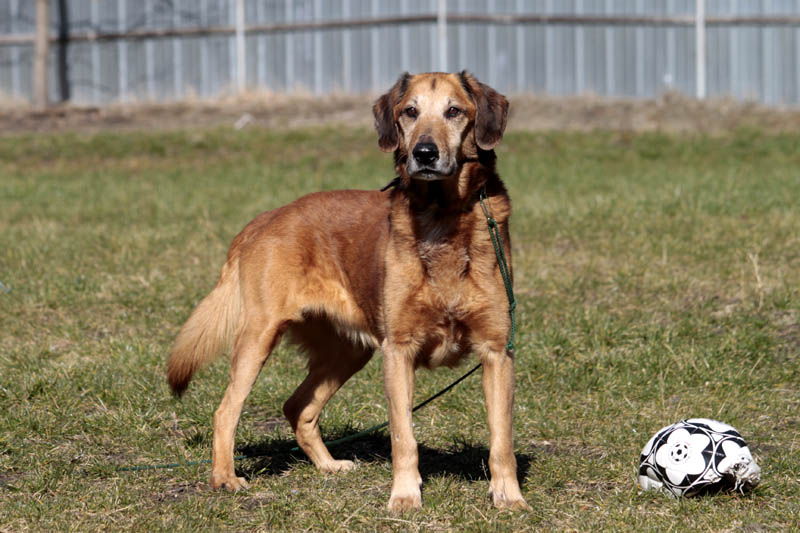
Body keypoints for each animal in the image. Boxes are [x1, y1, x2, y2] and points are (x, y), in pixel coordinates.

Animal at [167, 71, 529, 511]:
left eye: (454, 111)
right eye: (410, 111)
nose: (424, 153)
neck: (442, 214)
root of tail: (260, 221)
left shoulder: (497, 352)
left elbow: (501, 441)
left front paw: (509, 497)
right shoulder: (398, 351)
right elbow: (403, 437)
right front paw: (404, 497)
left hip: (349, 350)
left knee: (298, 407)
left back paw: (328, 465)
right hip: (259, 337)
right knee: (226, 411)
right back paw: (225, 478)